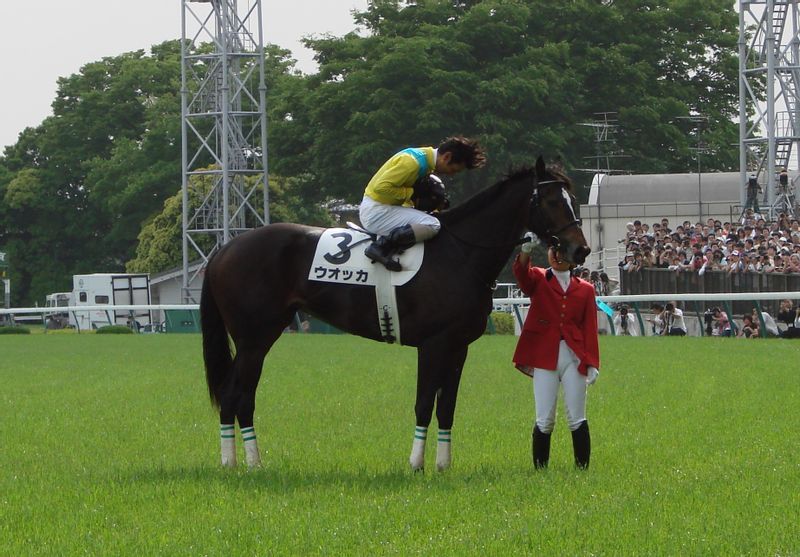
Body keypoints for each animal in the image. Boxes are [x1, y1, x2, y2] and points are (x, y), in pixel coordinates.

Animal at [200, 155, 588, 470]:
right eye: (553, 200)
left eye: (573, 200)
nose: (580, 250)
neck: (460, 253)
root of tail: (226, 248)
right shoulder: (433, 344)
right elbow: (424, 404)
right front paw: (416, 464)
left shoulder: (458, 347)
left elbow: (446, 407)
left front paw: (443, 465)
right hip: (254, 340)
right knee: (235, 395)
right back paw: (239, 463)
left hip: (259, 338)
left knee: (239, 397)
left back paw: (243, 461)